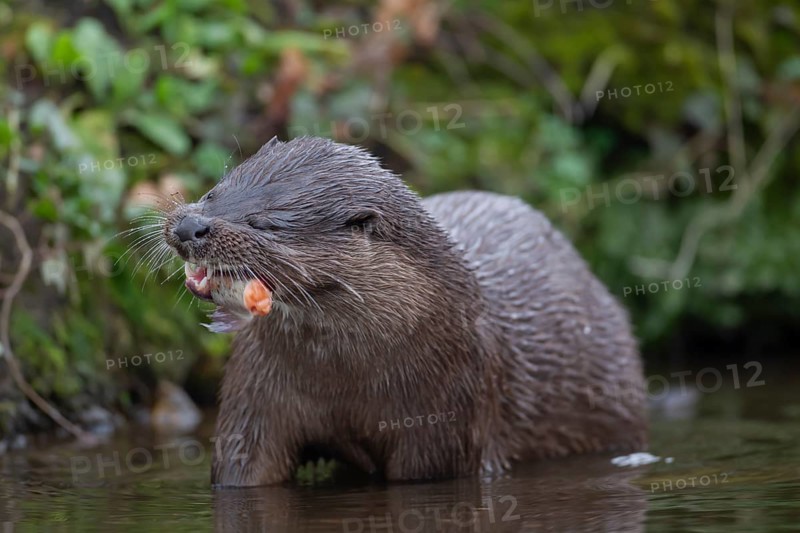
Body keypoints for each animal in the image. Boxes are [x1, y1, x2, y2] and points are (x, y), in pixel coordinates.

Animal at [162, 136, 647, 487]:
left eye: (266, 223)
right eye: (214, 192)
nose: (189, 226)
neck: (342, 379)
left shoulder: (443, 422)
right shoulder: (254, 400)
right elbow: (242, 467)